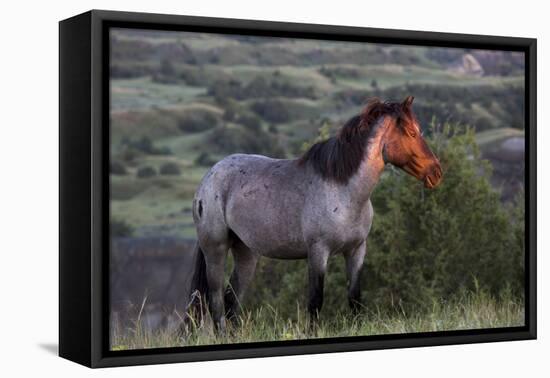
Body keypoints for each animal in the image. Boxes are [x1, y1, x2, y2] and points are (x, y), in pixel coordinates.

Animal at [185, 96, 444, 332]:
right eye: (411, 132)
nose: (437, 172)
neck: (343, 190)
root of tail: (209, 177)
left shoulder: (356, 250)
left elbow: (355, 297)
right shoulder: (319, 252)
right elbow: (316, 300)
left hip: (246, 252)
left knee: (231, 298)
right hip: (216, 249)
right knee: (216, 299)